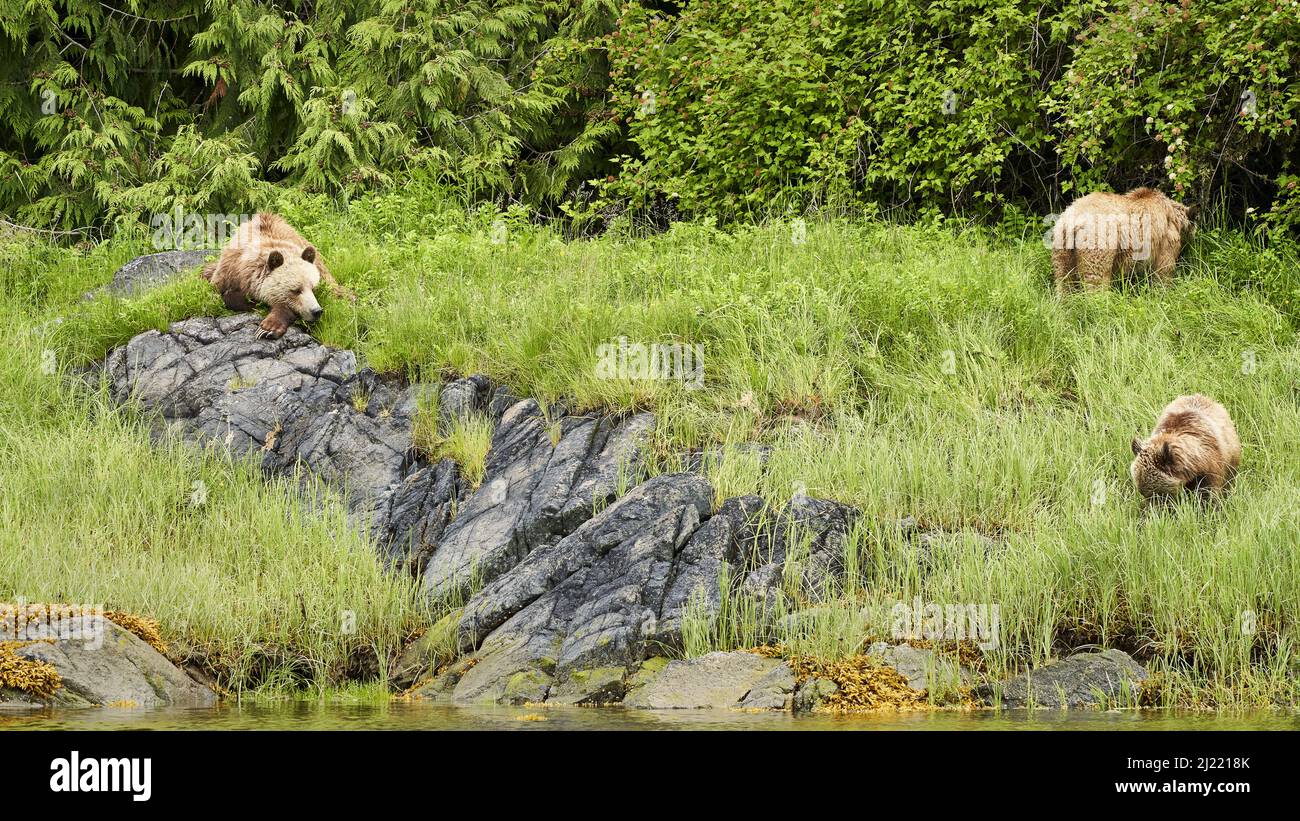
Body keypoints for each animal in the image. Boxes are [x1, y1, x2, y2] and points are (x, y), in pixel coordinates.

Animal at [201, 213, 353, 340]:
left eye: (314, 288)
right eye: (296, 290)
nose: (316, 311)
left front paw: (268, 328)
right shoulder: (228, 272)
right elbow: (222, 295)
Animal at [1051, 187, 1192, 293]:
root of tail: (1071, 222)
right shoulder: (1165, 240)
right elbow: (1163, 270)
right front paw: (1163, 291)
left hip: (1062, 247)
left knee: (1064, 280)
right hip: (1098, 242)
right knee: (1096, 281)